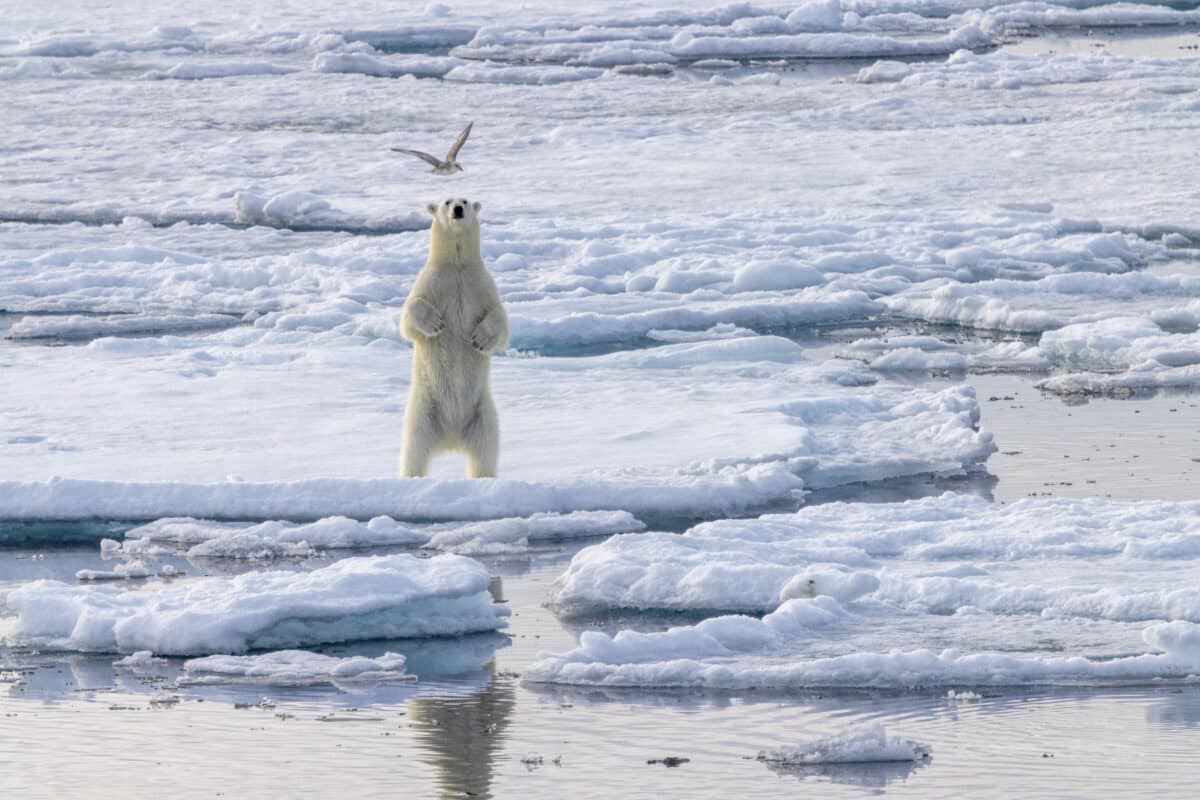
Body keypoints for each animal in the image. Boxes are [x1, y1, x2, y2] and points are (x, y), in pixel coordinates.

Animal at [400, 197, 508, 478]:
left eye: (466, 200)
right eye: (447, 201)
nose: (458, 209)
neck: (457, 266)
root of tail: (451, 438)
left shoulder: (481, 285)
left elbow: (501, 319)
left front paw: (479, 339)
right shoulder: (432, 281)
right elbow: (409, 313)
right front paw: (435, 323)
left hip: (482, 414)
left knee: (485, 450)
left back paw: (483, 476)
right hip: (424, 411)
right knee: (414, 449)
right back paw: (411, 476)